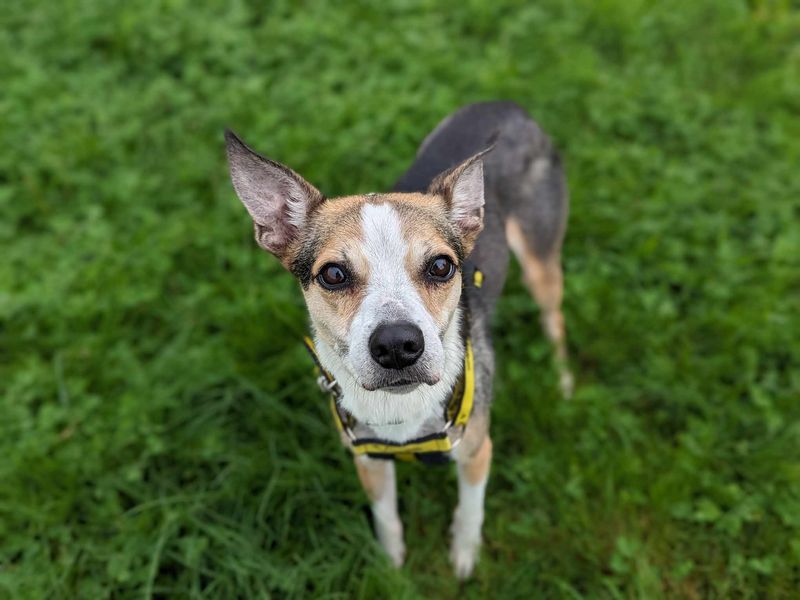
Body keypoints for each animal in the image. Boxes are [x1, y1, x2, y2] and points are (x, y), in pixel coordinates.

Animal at [225, 101, 572, 580]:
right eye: (334, 274)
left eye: (442, 267)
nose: (396, 346)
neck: (402, 412)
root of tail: (505, 104)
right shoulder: (367, 459)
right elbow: (386, 516)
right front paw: (390, 566)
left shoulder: (477, 450)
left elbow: (471, 510)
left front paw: (464, 556)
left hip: (542, 261)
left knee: (554, 320)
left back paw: (563, 382)